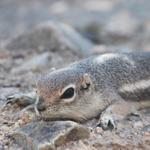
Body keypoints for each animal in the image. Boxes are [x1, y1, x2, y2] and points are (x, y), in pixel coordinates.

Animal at [6, 52, 150, 130]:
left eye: (68, 93)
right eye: (37, 89)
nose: (39, 107)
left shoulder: (110, 95)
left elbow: (122, 106)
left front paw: (106, 118)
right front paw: (22, 96)